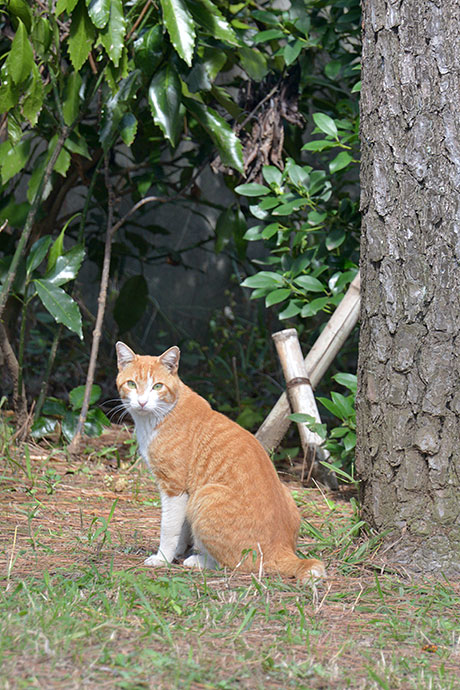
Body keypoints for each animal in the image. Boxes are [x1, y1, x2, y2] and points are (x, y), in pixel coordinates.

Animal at [116, 342, 324, 576]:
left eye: (157, 386)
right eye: (132, 384)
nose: (142, 402)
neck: (160, 415)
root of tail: (283, 551)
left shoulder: (174, 487)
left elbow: (169, 528)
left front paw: (163, 558)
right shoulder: (186, 493)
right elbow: (183, 528)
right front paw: (178, 552)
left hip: (206, 494)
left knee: (233, 563)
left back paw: (197, 561)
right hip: (281, 491)